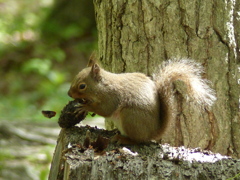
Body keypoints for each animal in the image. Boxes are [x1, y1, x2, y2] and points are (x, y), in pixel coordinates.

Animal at [68, 59, 218, 145]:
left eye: (82, 86)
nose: (69, 94)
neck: (103, 86)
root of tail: (151, 133)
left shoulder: (111, 96)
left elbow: (106, 109)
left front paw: (85, 107)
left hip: (130, 116)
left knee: (137, 141)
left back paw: (123, 139)